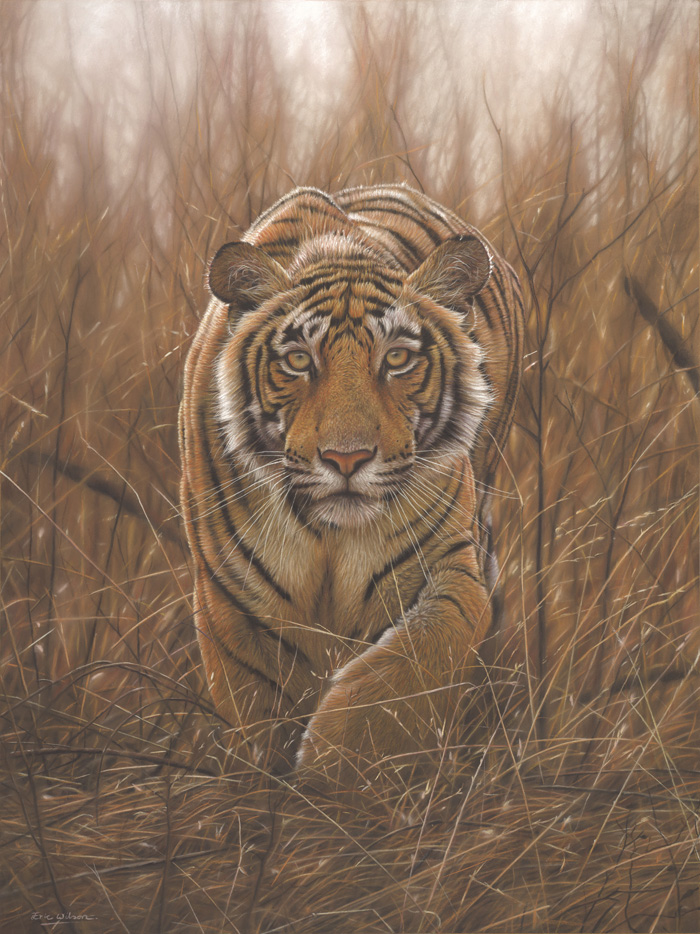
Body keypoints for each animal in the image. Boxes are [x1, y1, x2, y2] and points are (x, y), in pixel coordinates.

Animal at [178, 184, 524, 783]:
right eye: (298, 361)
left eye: (398, 358)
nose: (347, 458)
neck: (327, 536)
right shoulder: (229, 597)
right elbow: (259, 705)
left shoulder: (451, 565)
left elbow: (415, 662)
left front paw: (336, 767)